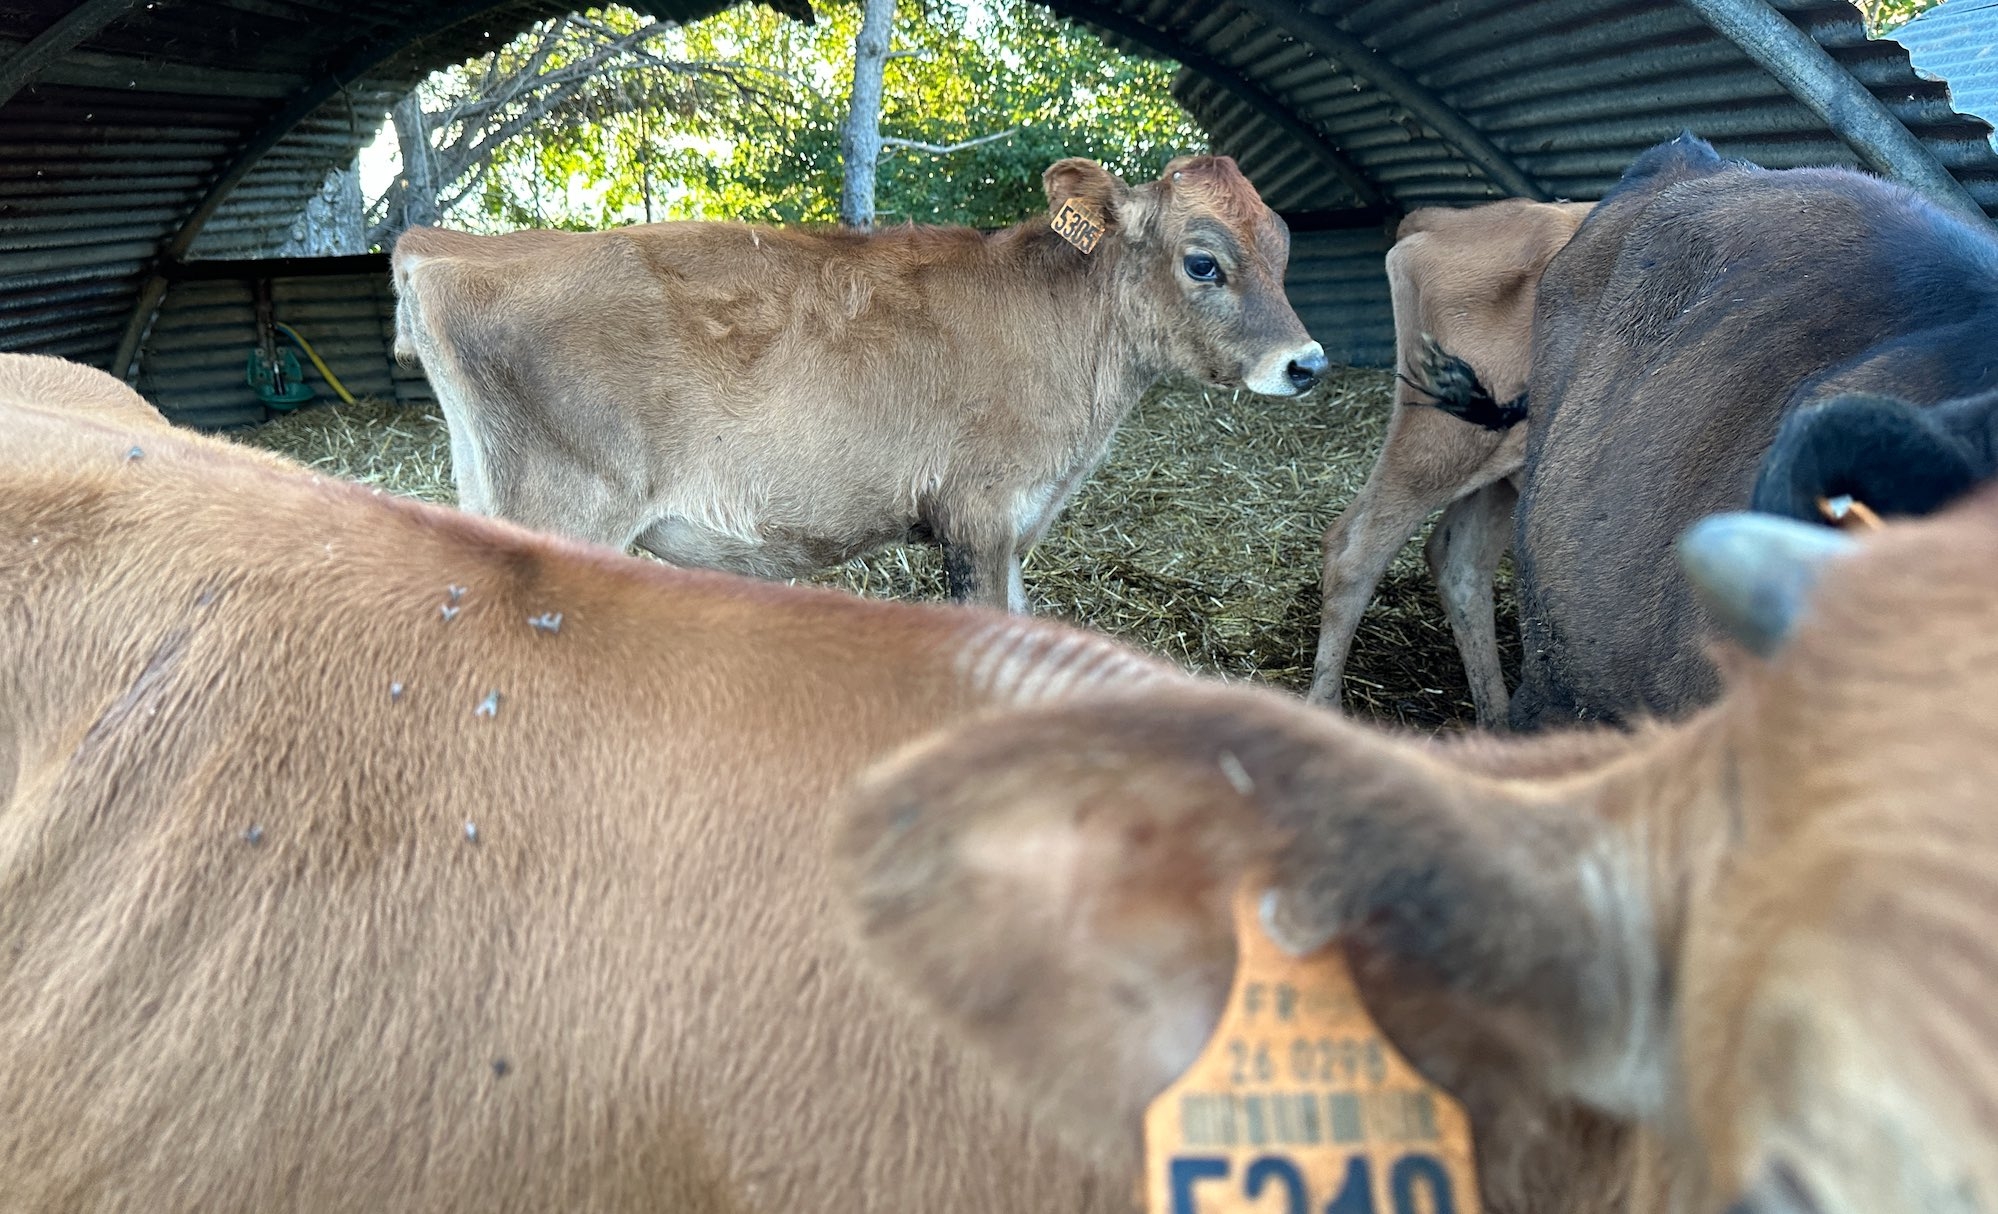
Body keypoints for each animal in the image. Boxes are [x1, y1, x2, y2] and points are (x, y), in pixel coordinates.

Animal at [389, 156, 1326, 610]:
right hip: (561, 512)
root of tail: (447, 247)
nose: (1307, 362)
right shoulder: (978, 514)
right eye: (1202, 261)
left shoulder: (1013, 524)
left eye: (1282, 245)